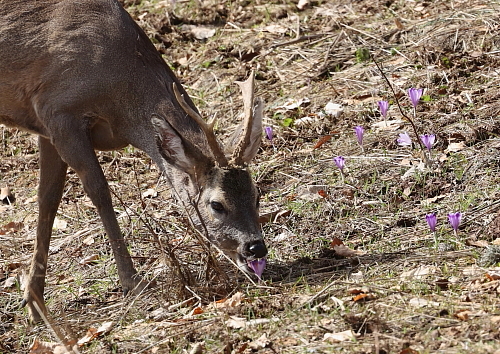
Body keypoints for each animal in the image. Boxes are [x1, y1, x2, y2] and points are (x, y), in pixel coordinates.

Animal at [0, 0, 268, 322]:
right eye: (217, 205)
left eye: (256, 194)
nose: (256, 247)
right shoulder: (58, 110)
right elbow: (100, 192)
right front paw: (133, 281)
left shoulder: (46, 127)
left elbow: (47, 199)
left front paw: (34, 302)